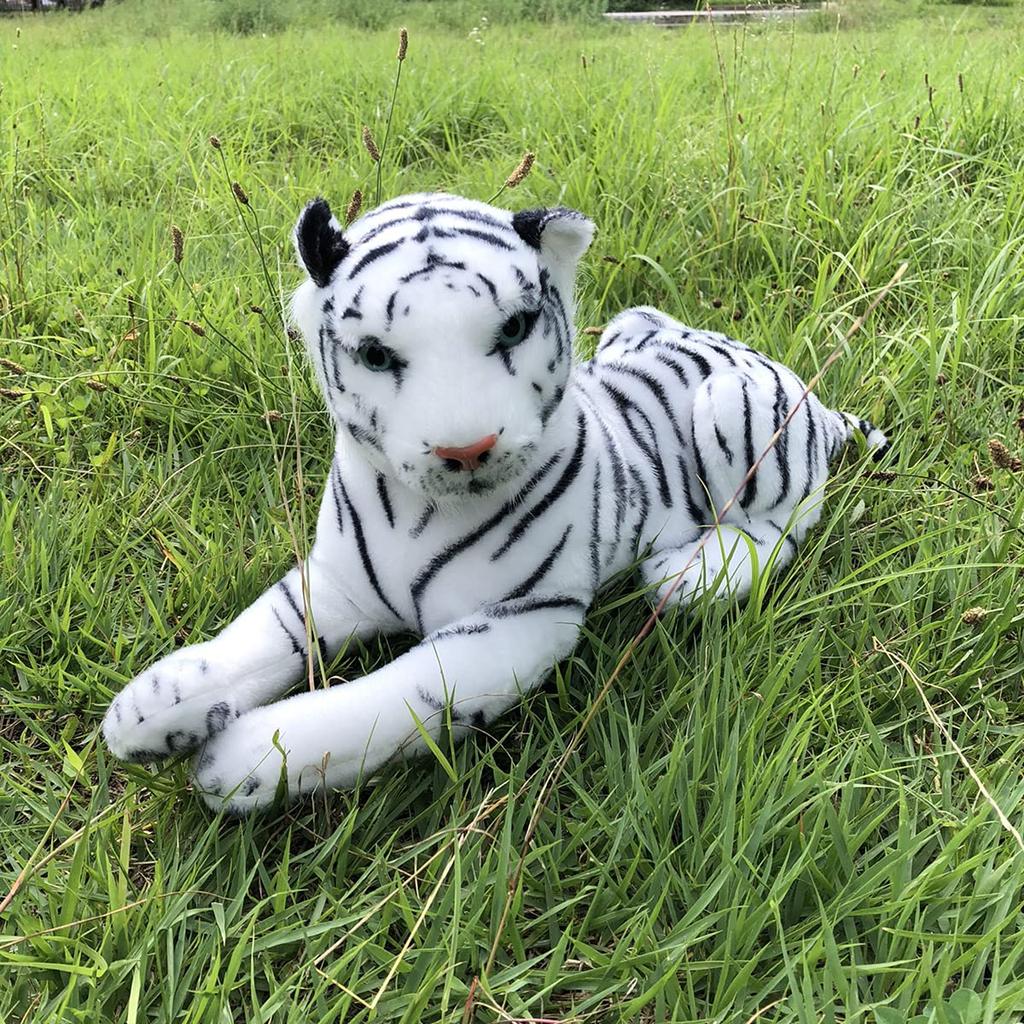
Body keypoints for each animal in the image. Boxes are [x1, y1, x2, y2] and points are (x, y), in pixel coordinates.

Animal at [101, 191, 888, 813]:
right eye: (376, 354)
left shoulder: (515, 626)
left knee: (787, 521)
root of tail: (806, 390)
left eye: (513, 328)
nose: (466, 449)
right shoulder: (337, 584)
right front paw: (154, 707)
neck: (413, 507)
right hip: (636, 320)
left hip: (736, 409)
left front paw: (248, 760)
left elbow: (383, 700)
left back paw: (695, 574)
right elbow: (265, 632)